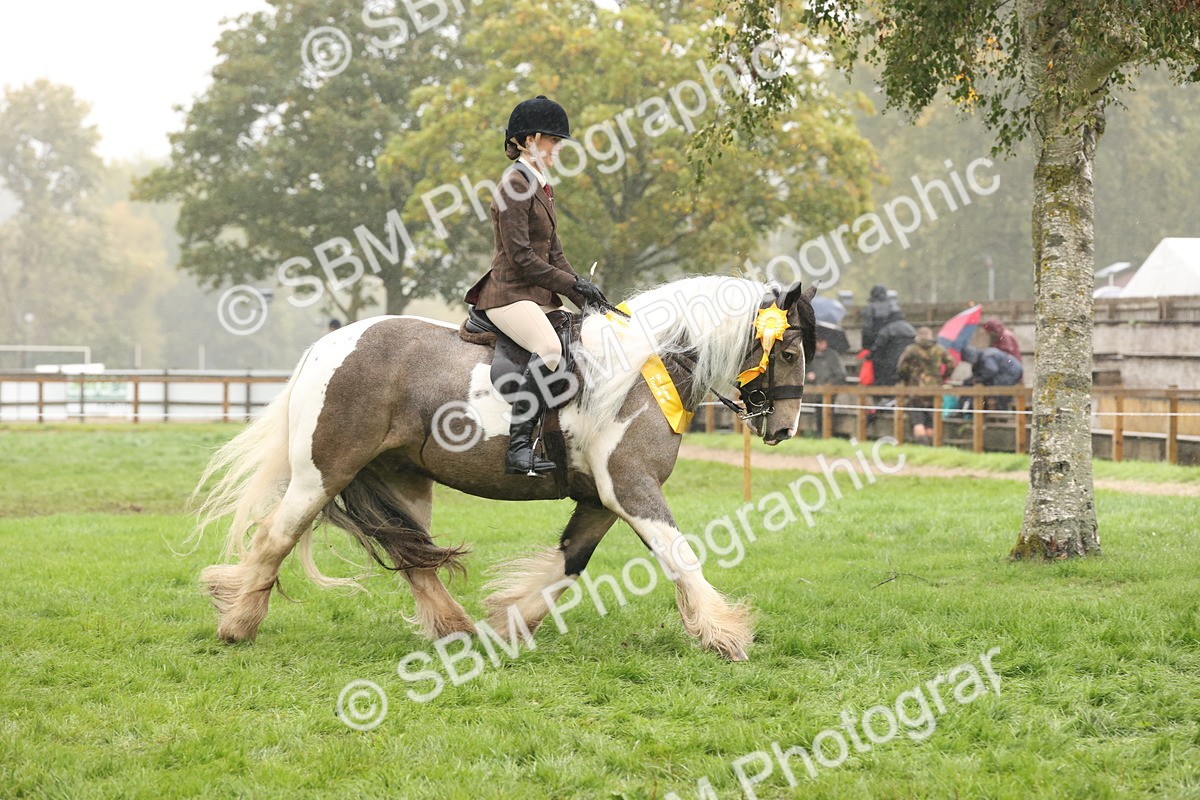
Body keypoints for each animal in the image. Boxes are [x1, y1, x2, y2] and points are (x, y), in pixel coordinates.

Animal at [193, 274, 817, 661]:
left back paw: (458, 631)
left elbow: (569, 563)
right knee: (275, 537)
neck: (644, 369)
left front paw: (510, 622)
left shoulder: (601, 498)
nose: (785, 429)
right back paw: (238, 624)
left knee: (412, 554)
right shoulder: (632, 488)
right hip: (322, 473)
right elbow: (679, 555)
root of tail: (324, 349)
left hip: (401, 478)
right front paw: (724, 635)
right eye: (788, 352)